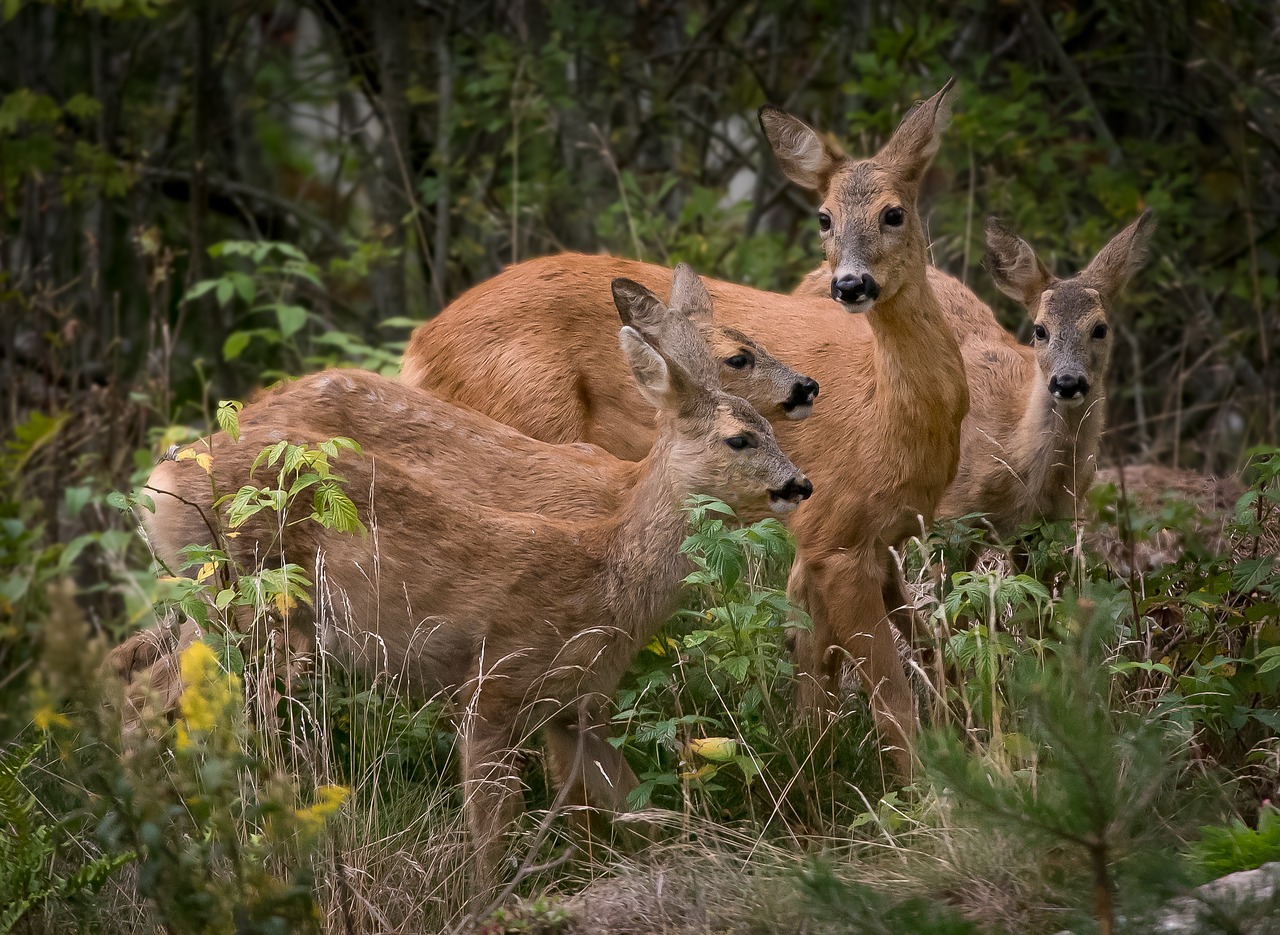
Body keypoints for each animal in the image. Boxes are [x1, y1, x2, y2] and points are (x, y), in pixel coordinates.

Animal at [135, 268, 808, 881]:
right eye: (738, 358)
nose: (806, 389)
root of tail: (162, 478)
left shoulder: (577, 702)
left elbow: (625, 800)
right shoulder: (498, 684)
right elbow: (517, 819)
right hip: (252, 611)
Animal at [401, 80, 967, 768]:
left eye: (894, 212)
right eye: (824, 217)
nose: (851, 283)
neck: (890, 419)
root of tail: (420, 346)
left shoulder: (880, 539)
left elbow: (911, 654)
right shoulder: (833, 536)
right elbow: (889, 694)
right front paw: (917, 784)